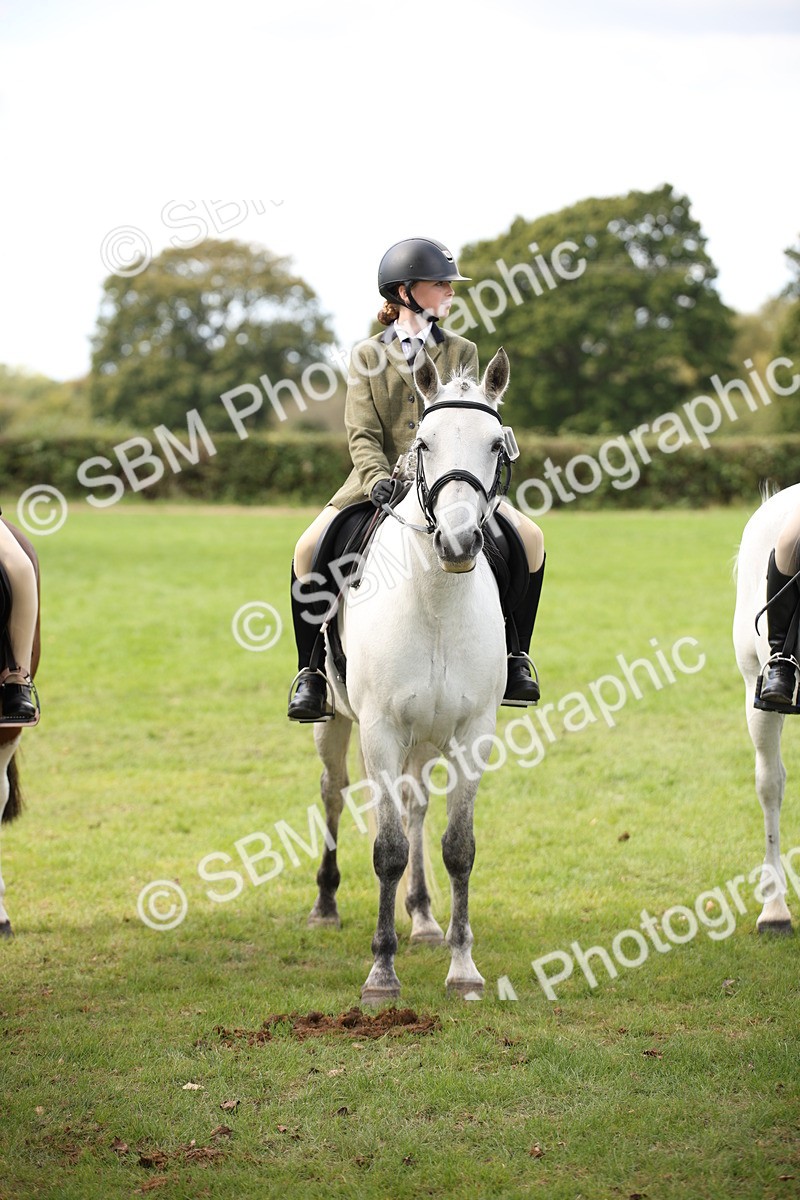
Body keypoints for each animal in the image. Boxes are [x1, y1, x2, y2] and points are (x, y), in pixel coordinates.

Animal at [307, 347, 515, 1003]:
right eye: (423, 443)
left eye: (495, 445)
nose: (458, 541)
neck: (437, 600)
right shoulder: (380, 729)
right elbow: (388, 848)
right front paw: (381, 973)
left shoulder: (473, 732)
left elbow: (458, 847)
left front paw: (463, 966)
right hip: (336, 723)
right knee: (334, 792)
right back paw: (326, 905)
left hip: (426, 736)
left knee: (416, 803)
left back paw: (423, 917)